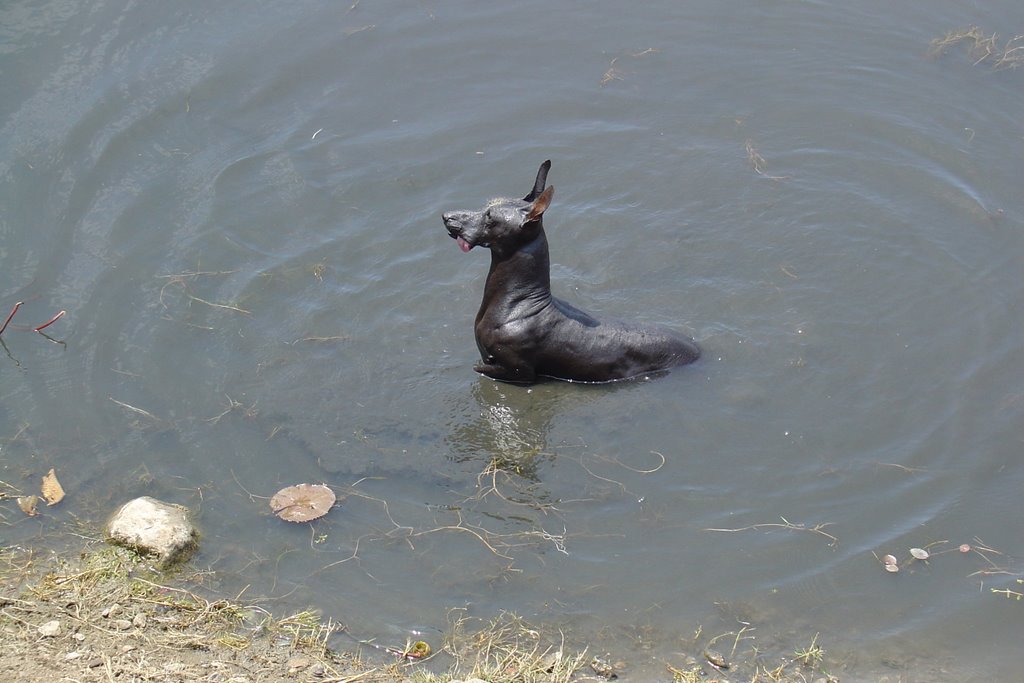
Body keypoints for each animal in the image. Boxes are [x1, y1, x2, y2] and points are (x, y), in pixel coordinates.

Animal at [444, 161, 700, 385]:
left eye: (490, 217)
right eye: (485, 206)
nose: (447, 216)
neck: (517, 302)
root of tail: (701, 354)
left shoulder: (517, 370)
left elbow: (482, 367)